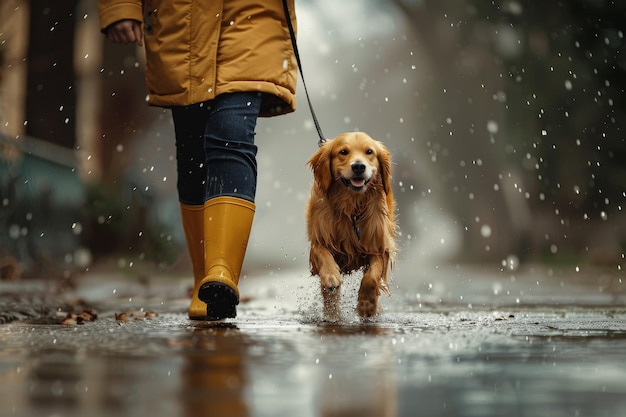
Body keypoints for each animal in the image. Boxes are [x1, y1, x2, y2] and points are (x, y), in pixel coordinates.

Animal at [306, 132, 398, 316]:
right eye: (343, 152)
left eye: (369, 152)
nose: (358, 166)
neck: (351, 207)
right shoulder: (319, 239)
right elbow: (322, 253)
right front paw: (331, 276)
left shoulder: (380, 246)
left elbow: (372, 277)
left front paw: (366, 304)